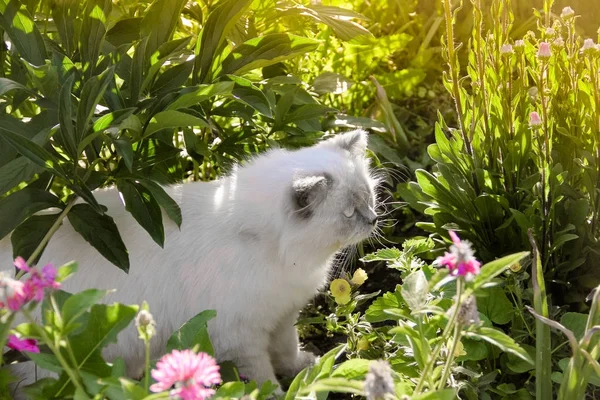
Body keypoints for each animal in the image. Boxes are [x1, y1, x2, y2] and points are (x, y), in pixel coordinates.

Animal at [2, 130, 380, 396]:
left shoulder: (281, 316)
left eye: (369, 198)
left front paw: (307, 367)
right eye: (350, 213)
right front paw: (277, 392)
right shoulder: (241, 336)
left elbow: (288, 351)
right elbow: (262, 376)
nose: (375, 219)